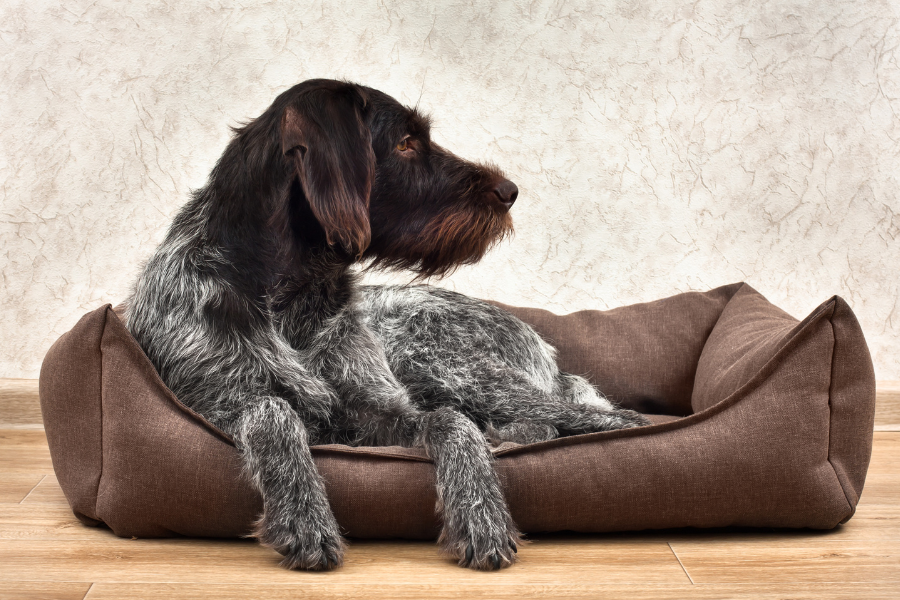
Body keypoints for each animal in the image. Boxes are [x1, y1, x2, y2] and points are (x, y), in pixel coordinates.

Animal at [126, 78, 648, 572]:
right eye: (405, 143)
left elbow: (451, 422)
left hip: (446, 367)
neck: (293, 297)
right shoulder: (211, 403)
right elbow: (273, 410)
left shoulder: (382, 413)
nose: (510, 191)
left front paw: (482, 512)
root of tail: (542, 346)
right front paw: (304, 516)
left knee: (612, 421)